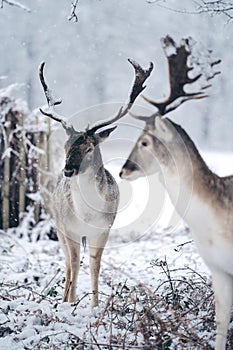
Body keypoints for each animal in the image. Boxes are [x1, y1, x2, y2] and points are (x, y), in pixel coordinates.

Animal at [38, 58, 153, 304]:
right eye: (66, 146)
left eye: (90, 147)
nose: (68, 170)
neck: (87, 215)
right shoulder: (70, 229)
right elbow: (74, 264)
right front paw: (71, 302)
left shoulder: (103, 230)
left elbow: (95, 265)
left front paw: (95, 305)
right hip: (58, 226)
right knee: (68, 263)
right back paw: (64, 297)